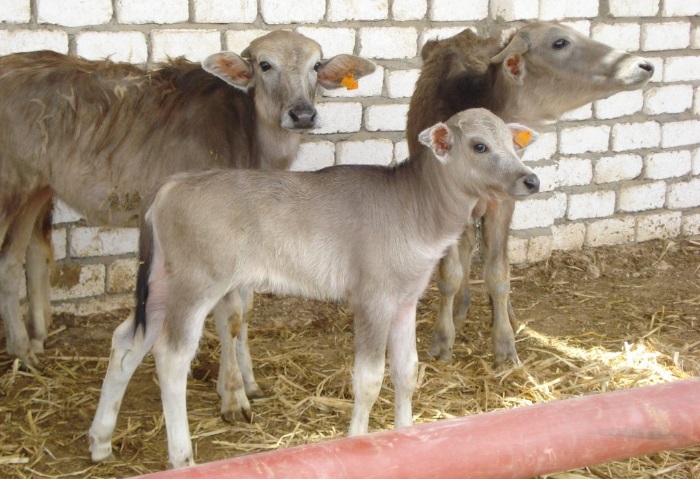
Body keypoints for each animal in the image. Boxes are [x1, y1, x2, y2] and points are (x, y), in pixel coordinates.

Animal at [0, 30, 378, 390]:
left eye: (316, 65)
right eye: (265, 65)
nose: (302, 114)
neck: (248, 138)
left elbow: (245, 310)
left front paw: (249, 381)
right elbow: (230, 314)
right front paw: (233, 392)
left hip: (39, 188)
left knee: (34, 253)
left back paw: (37, 338)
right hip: (13, 188)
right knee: (8, 261)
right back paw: (21, 349)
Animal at [87, 108, 540, 468]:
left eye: (513, 144)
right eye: (479, 146)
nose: (531, 180)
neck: (414, 209)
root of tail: (173, 185)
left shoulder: (405, 299)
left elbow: (407, 370)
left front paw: (405, 436)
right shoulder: (373, 299)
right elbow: (369, 378)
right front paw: (357, 441)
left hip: (162, 281)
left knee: (127, 340)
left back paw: (100, 441)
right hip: (197, 283)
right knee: (171, 355)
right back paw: (181, 456)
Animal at [408, 21, 652, 364]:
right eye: (559, 42)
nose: (644, 65)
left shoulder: (504, 202)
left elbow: (499, 274)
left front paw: (505, 345)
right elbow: (450, 275)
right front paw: (443, 340)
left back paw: (504, 316)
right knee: (467, 245)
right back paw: (460, 309)